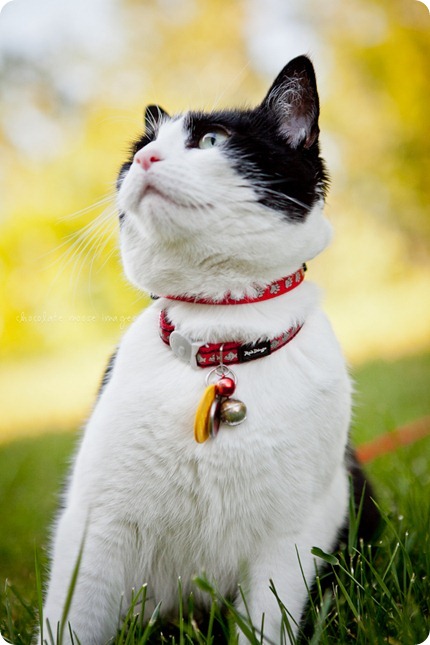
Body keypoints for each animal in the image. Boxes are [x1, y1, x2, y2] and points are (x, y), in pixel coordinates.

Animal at [38, 55, 378, 644]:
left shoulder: (292, 536)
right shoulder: (95, 523)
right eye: (138, 150)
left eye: (212, 140)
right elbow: (72, 619)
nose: (144, 159)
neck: (219, 341)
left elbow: (266, 620)